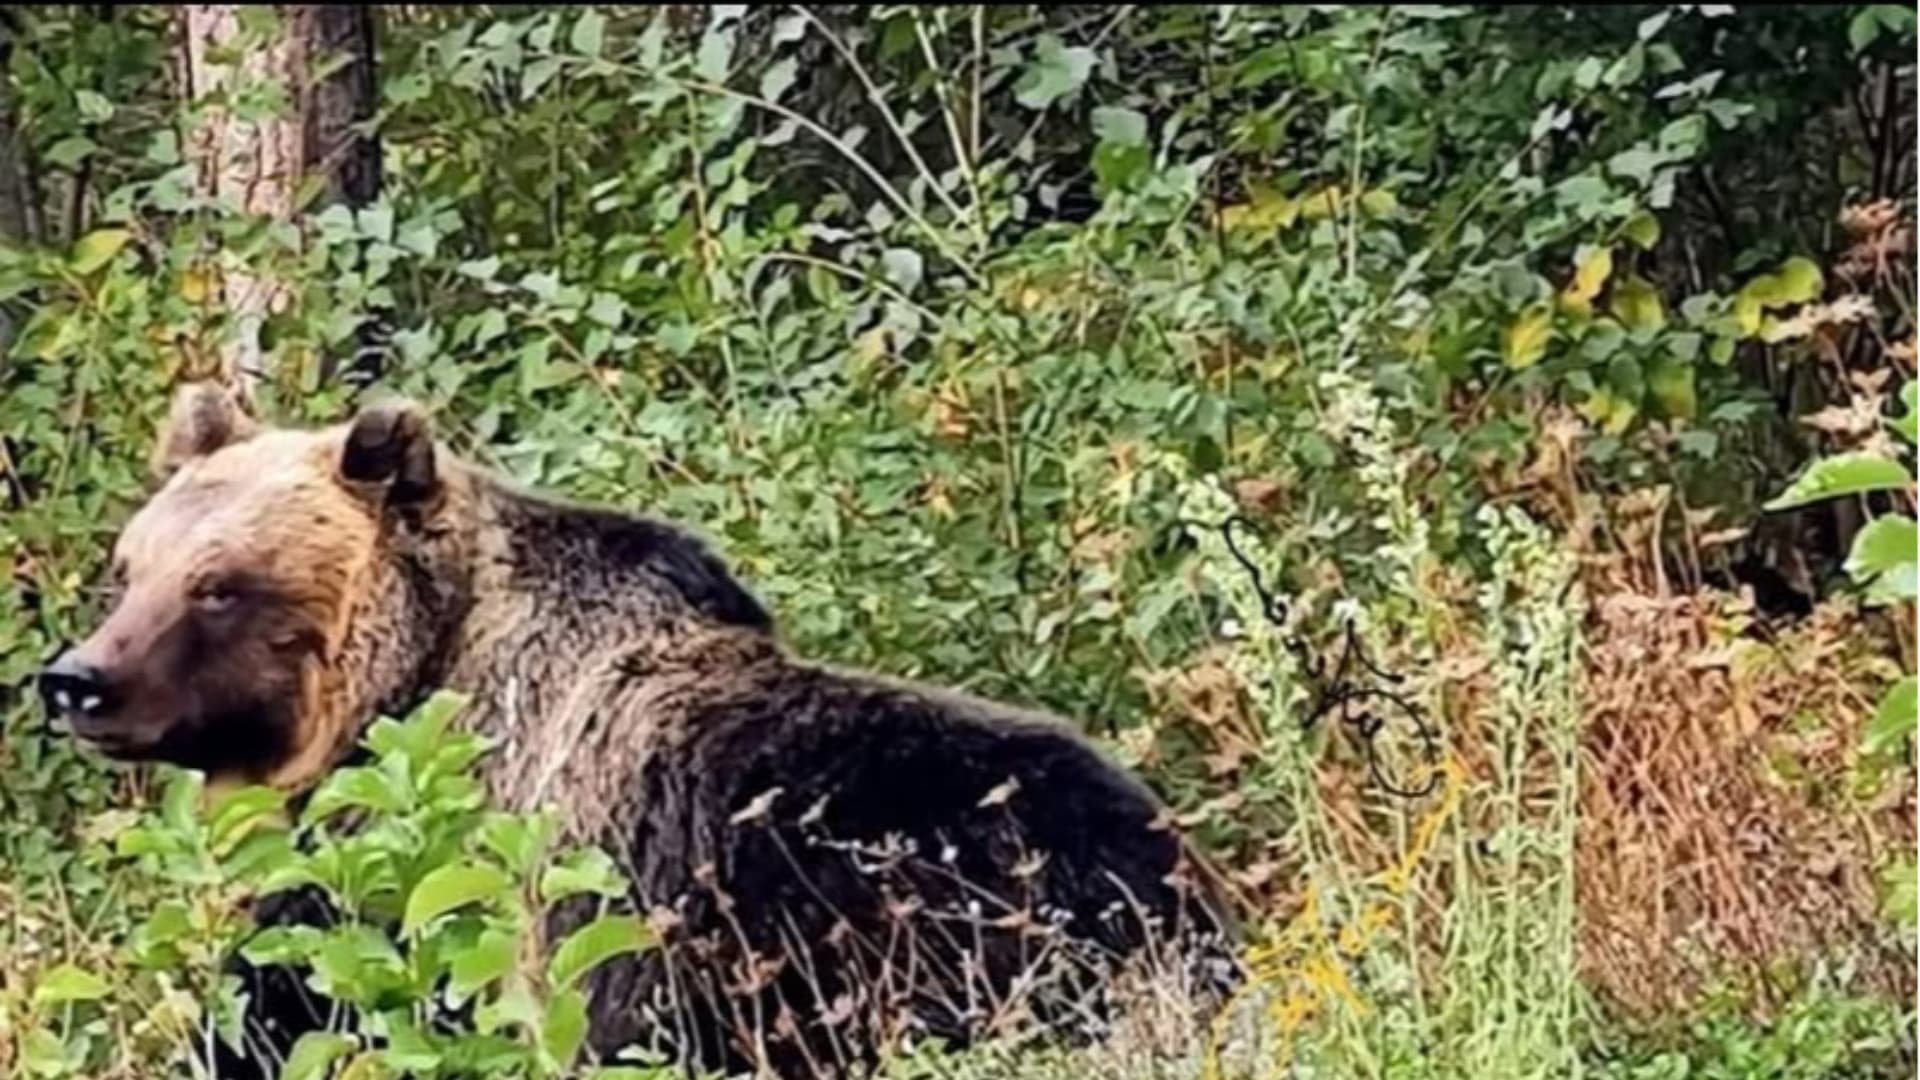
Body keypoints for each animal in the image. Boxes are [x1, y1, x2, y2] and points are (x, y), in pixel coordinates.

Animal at [38, 382, 1240, 1078]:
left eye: (219, 586)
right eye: (130, 569)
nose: (76, 681)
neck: (414, 681)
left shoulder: (472, 856)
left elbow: (305, 990)